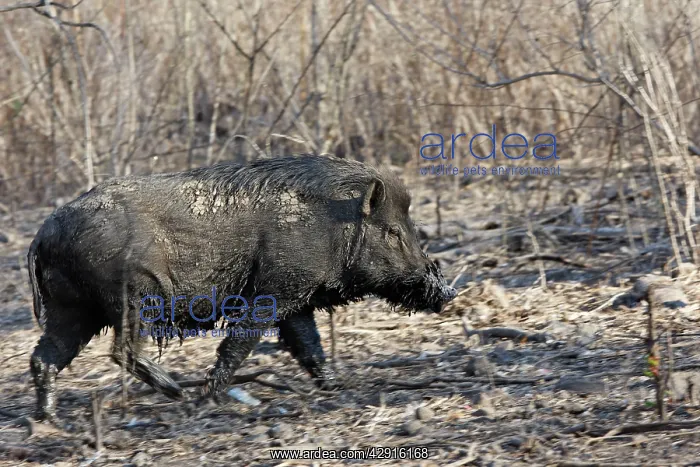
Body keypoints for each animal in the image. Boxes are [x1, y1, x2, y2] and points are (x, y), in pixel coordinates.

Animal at [28, 155, 457, 422]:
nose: (446, 293)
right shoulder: (273, 292)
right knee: (121, 349)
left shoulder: (296, 300)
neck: (333, 226)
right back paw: (178, 392)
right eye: (393, 232)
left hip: (71, 307)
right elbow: (241, 342)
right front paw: (212, 398)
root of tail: (43, 235)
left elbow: (309, 345)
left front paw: (336, 386)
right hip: (132, 297)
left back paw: (48, 419)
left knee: (44, 357)